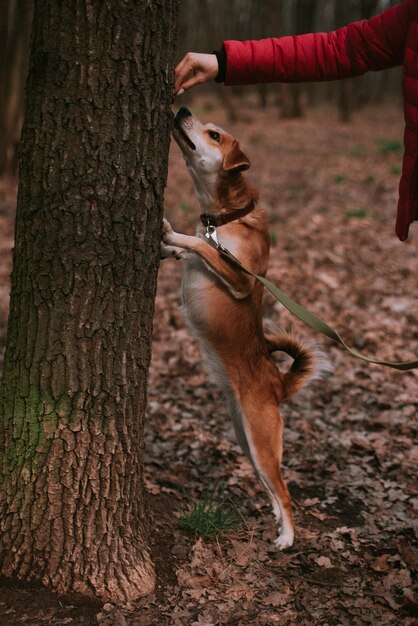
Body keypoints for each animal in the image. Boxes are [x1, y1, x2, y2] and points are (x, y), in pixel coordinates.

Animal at [160, 107, 326, 544]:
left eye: (214, 134)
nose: (182, 109)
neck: (227, 216)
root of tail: (278, 384)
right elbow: (193, 248)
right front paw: (169, 247)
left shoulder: (240, 278)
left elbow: (202, 245)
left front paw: (172, 234)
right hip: (246, 441)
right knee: (270, 489)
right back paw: (274, 521)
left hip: (262, 442)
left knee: (284, 492)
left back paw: (287, 537)